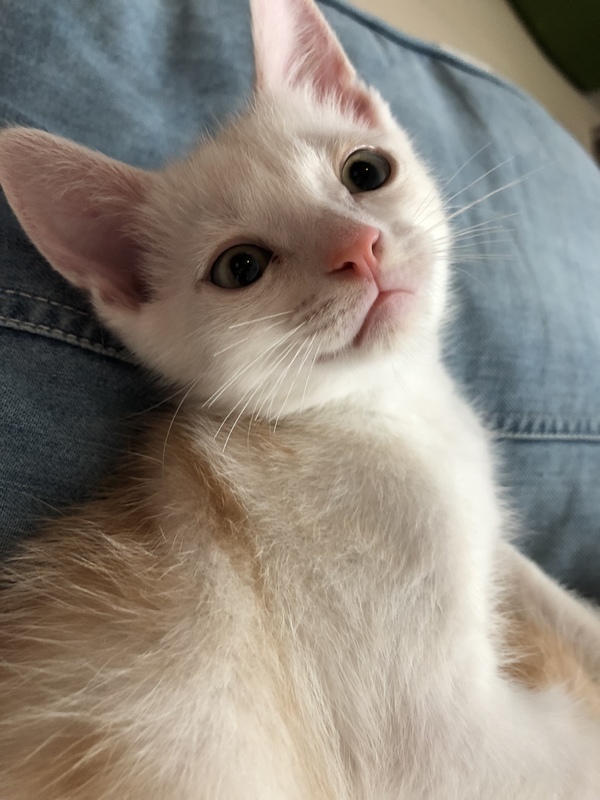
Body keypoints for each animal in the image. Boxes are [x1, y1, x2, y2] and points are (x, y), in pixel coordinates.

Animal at [0, 0, 599, 797]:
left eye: (366, 171)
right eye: (240, 267)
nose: (359, 248)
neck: (390, 411)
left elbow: (532, 579)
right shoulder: (447, 750)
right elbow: (569, 739)